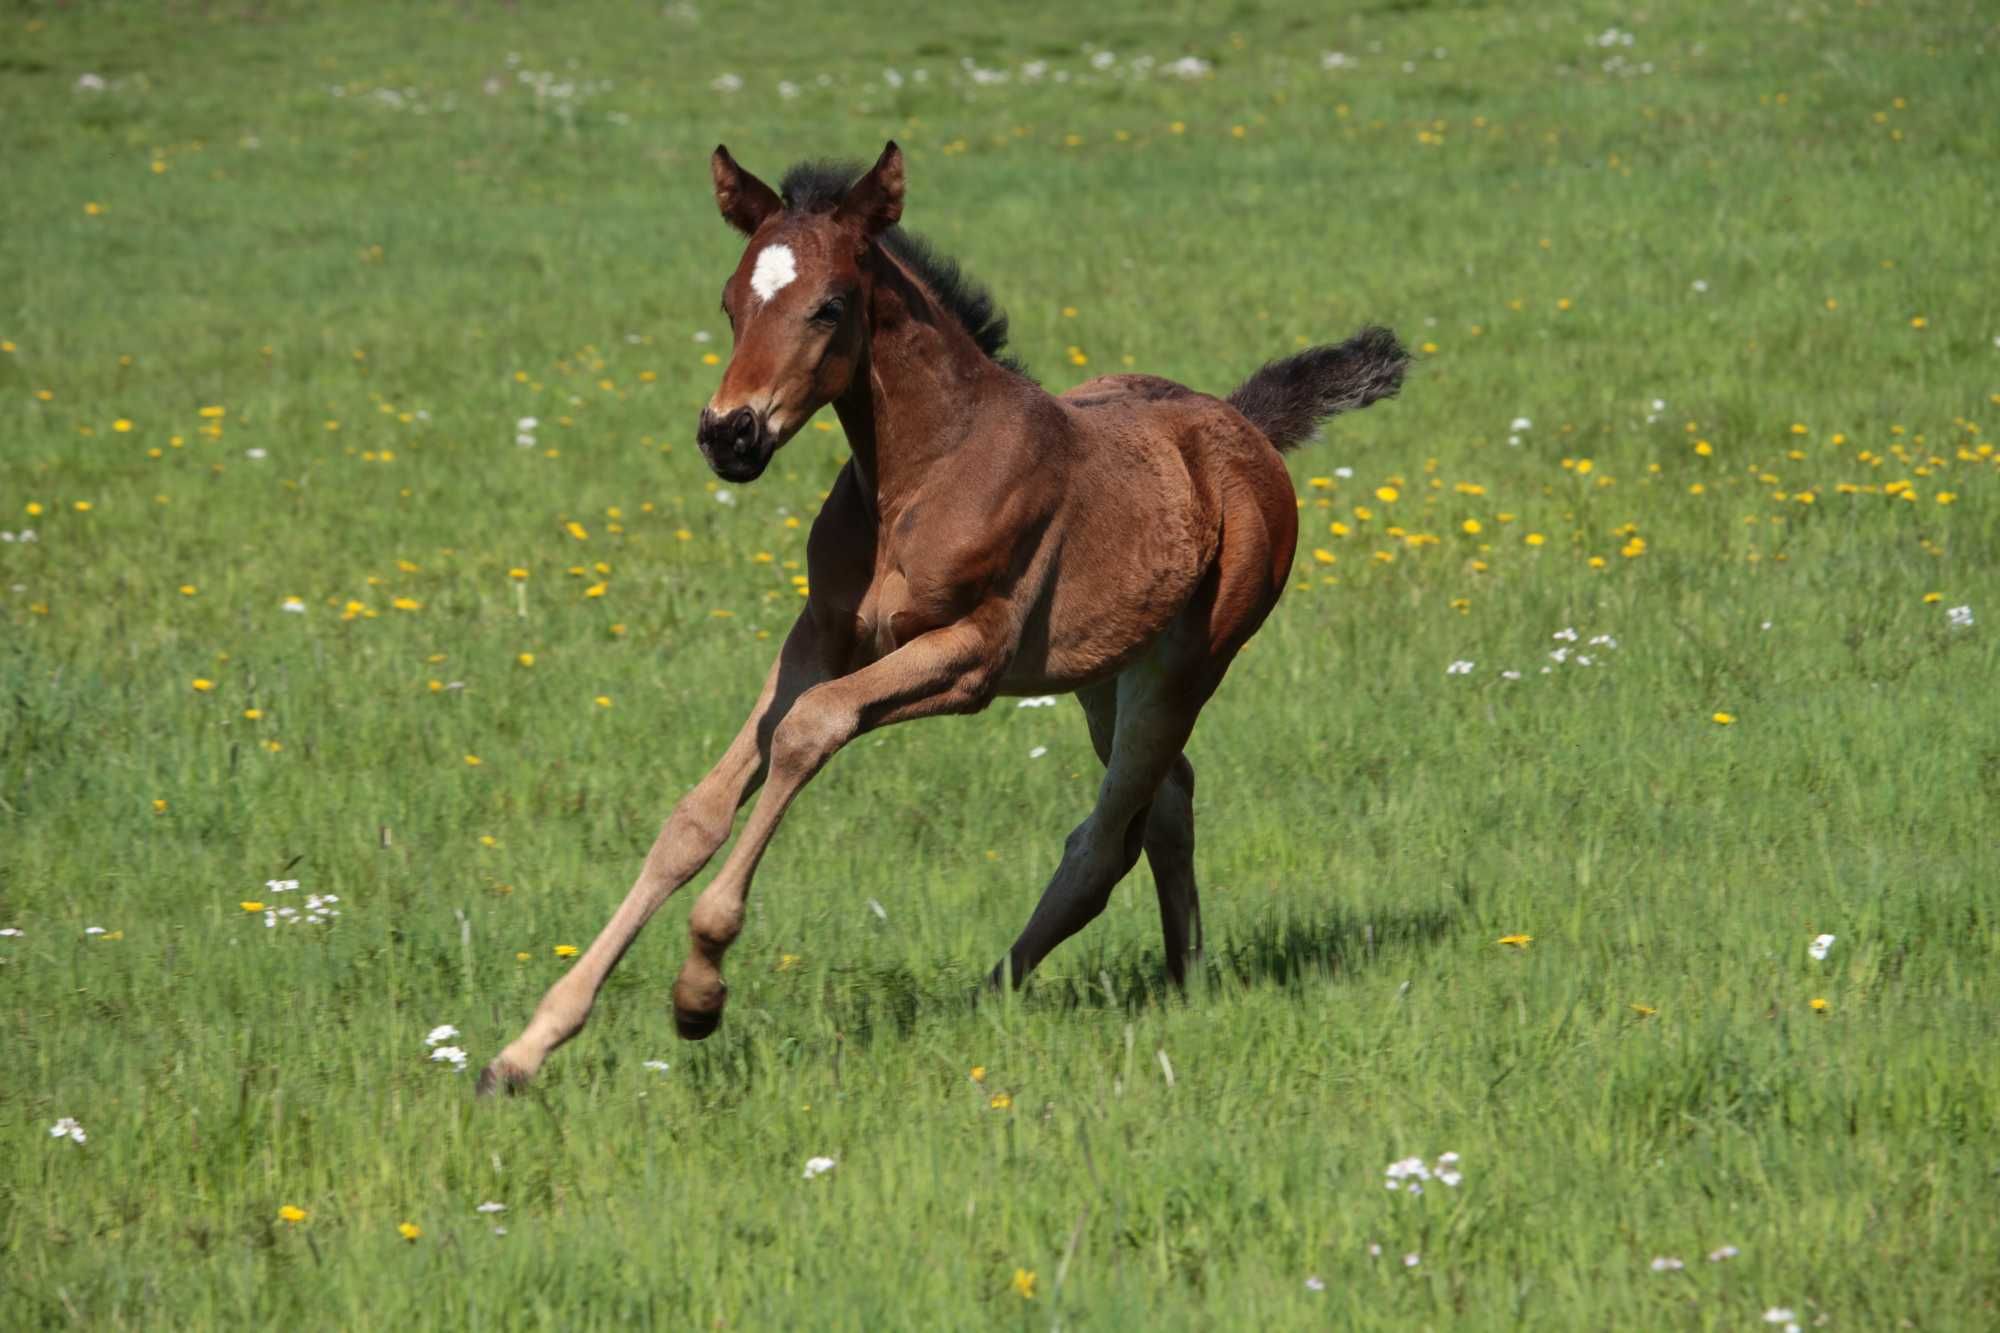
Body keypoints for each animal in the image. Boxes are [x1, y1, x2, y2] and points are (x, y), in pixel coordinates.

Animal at [478, 140, 1408, 1088]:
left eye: (830, 306)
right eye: (732, 302)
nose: (728, 434)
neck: (922, 473)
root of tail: (1244, 426)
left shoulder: (971, 658)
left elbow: (810, 728)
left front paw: (699, 991)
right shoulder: (821, 632)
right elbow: (696, 815)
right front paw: (527, 1046)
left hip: (1188, 663)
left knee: (1108, 837)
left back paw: (991, 995)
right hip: (1102, 674)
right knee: (1166, 801)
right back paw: (1178, 977)